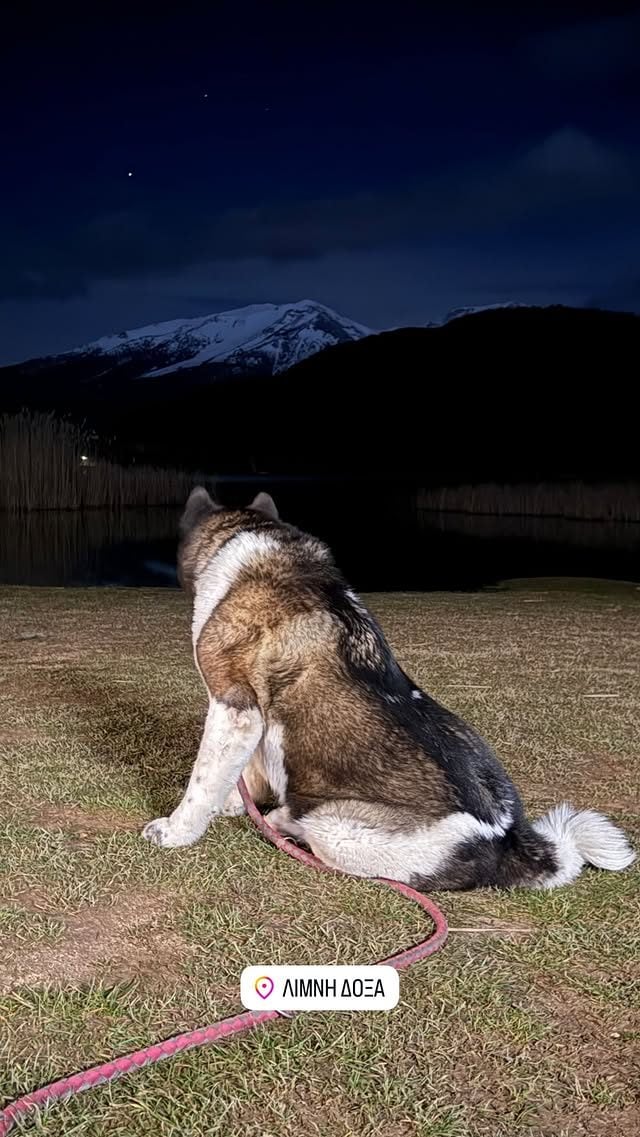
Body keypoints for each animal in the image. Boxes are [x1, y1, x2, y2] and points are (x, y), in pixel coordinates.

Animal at [141, 493, 636, 891]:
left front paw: (177, 832)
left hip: (338, 827)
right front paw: (232, 805)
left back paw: (285, 823)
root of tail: (508, 840)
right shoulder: (256, 720)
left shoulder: (235, 707)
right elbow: (243, 773)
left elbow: (203, 781)